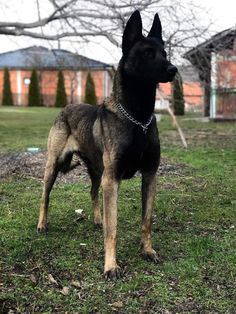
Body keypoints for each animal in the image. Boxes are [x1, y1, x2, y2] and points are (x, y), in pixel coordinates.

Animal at [37, 9, 177, 280]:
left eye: (164, 53)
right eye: (147, 54)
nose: (173, 69)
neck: (138, 118)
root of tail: (66, 108)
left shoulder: (149, 176)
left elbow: (146, 221)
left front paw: (147, 250)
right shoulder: (112, 180)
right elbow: (113, 229)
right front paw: (111, 266)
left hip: (96, 171)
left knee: (92, 192)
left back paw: (96, 219)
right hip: (54, 167)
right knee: (45, 196)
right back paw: (42, 224)